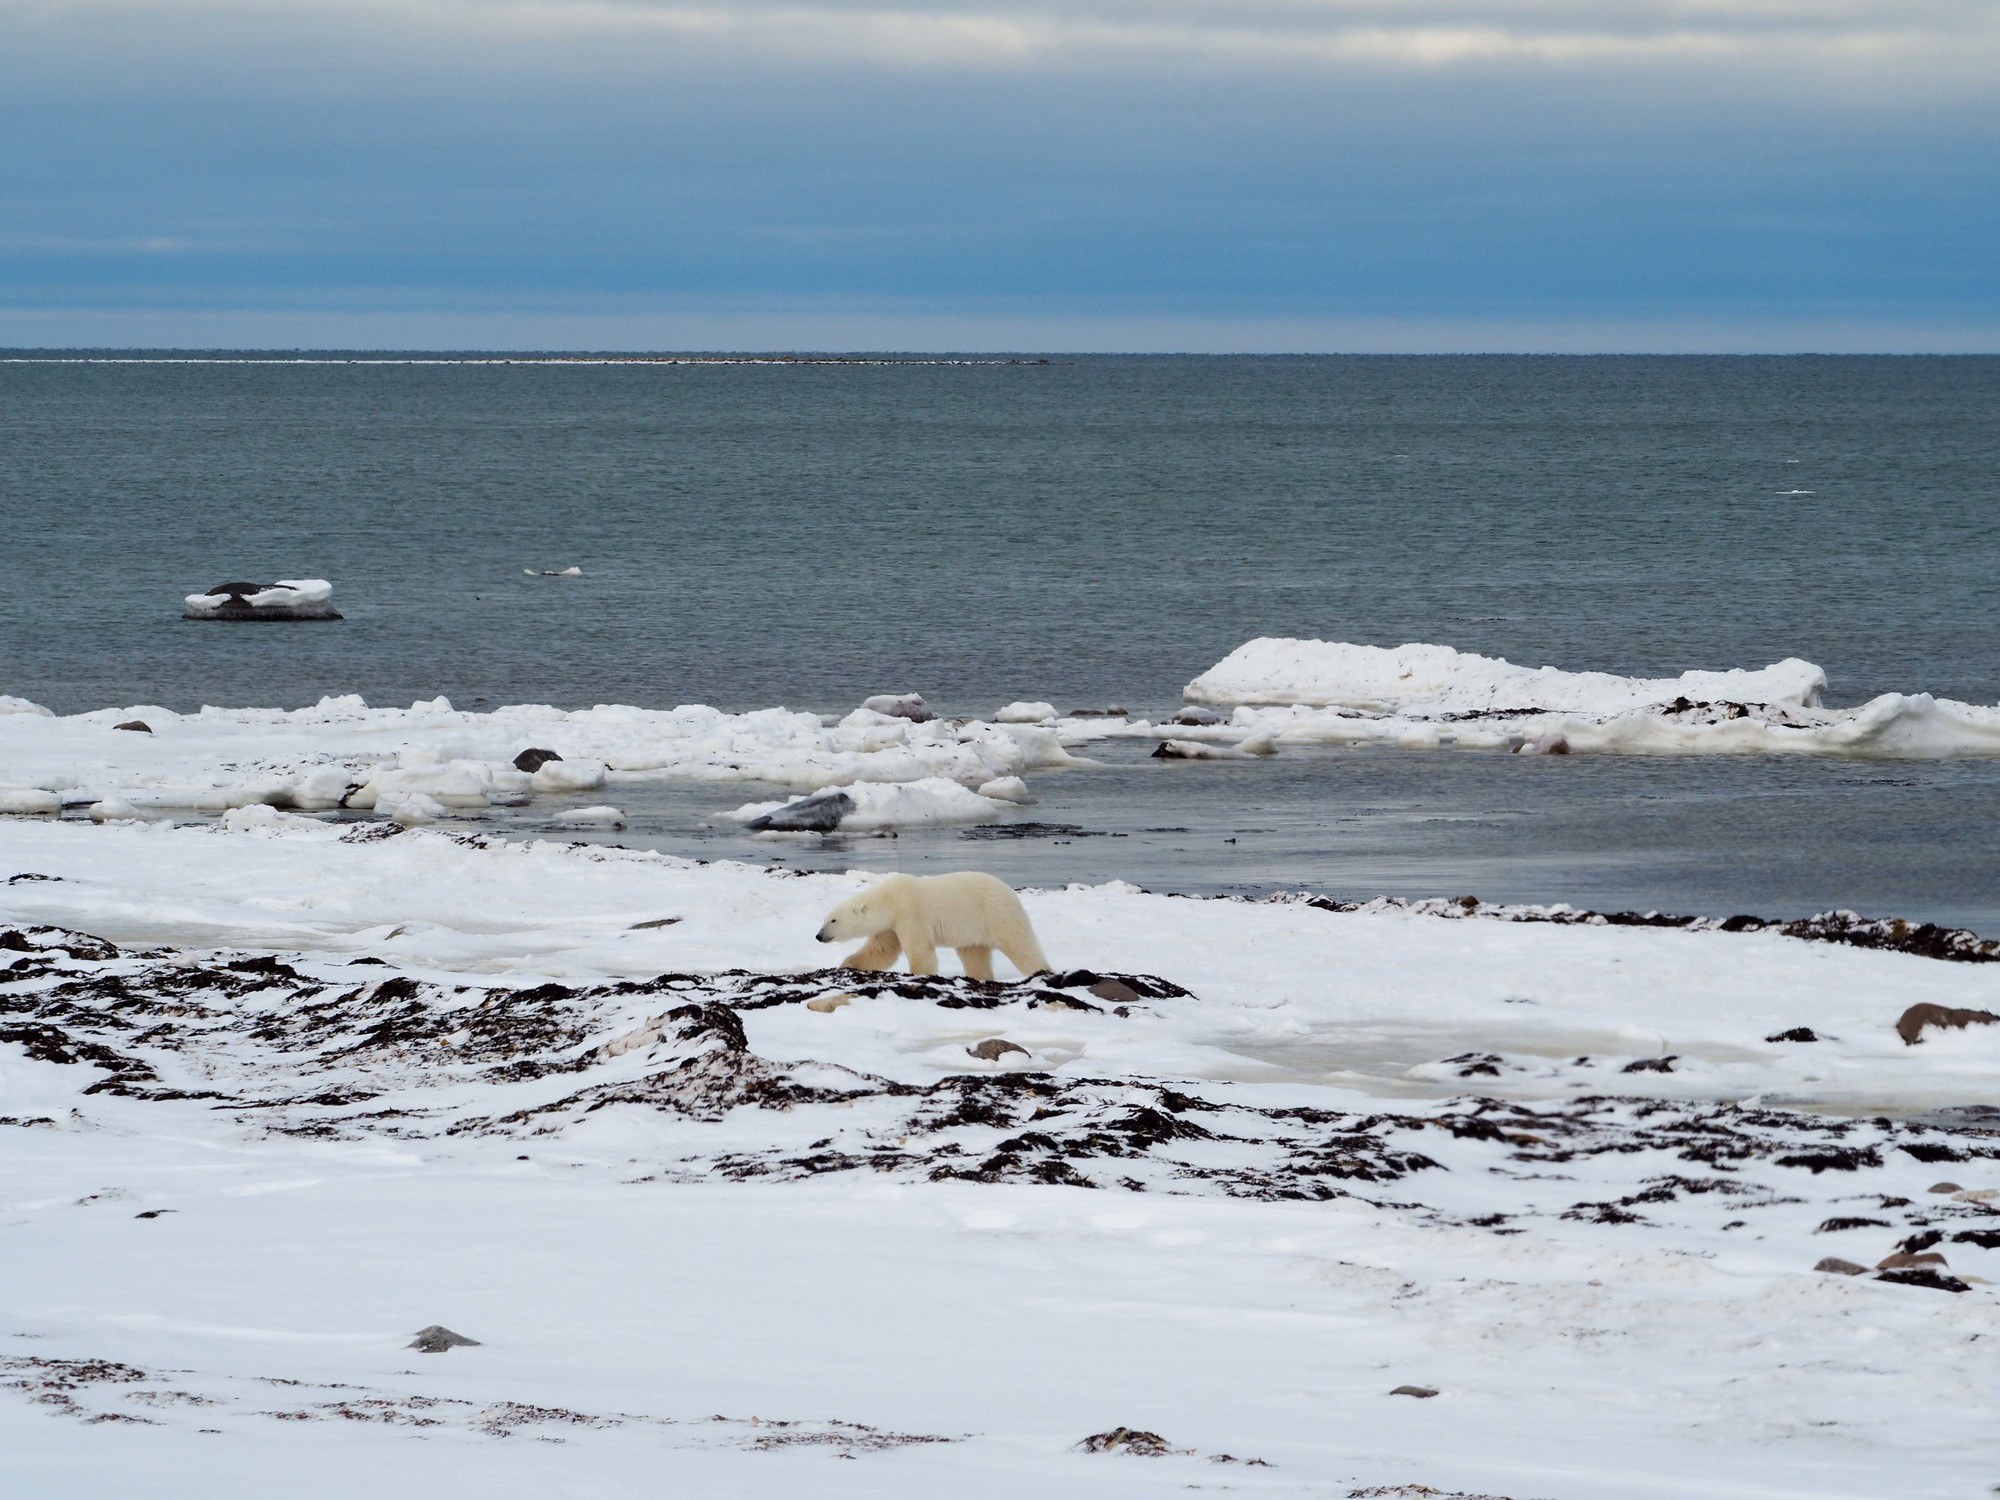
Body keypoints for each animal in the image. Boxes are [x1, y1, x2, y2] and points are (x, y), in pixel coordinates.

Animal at [820, 868, 1056, 988]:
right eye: (826, 918)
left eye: (833, 920)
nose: (818, 936)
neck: (890, 899)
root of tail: (1010, 891)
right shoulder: (890, 926)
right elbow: (880, 951)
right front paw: (846, 965)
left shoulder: (910, 911)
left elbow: (919, 948)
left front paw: (921, 975)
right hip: (972, 931)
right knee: (975, 956)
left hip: (996, 913)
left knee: (1020, 944)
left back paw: (1043, 971)